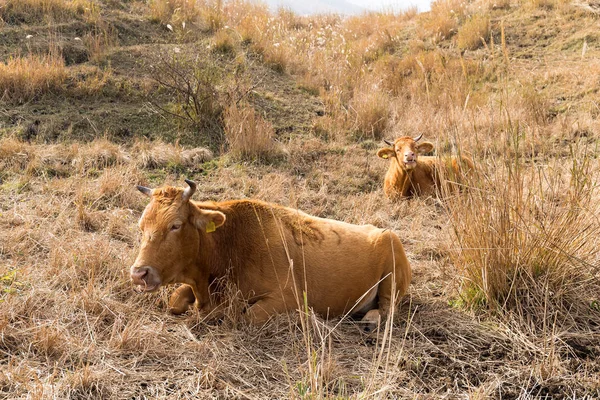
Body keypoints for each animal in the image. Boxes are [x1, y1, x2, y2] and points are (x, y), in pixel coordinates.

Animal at [130, 180, 412, 326]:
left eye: (175, 225)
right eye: (141, 226)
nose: (139, 274)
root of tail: (384, 231)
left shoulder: (289, 298)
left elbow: (245, 316)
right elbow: (175, 300)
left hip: (392, 273)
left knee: (388, 308)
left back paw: (371, 319)